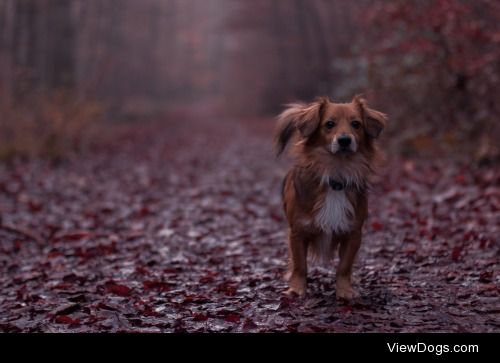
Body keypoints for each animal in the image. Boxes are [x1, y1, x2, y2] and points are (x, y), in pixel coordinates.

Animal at [274, 95, 386, 300]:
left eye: (356, 124)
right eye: (329, 124)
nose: (344, 140)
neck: (336, 173)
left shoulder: (353, 233)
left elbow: (344, 266)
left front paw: (344, 290)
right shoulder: (297, 232)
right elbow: (300, 265)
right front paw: (297, 288)